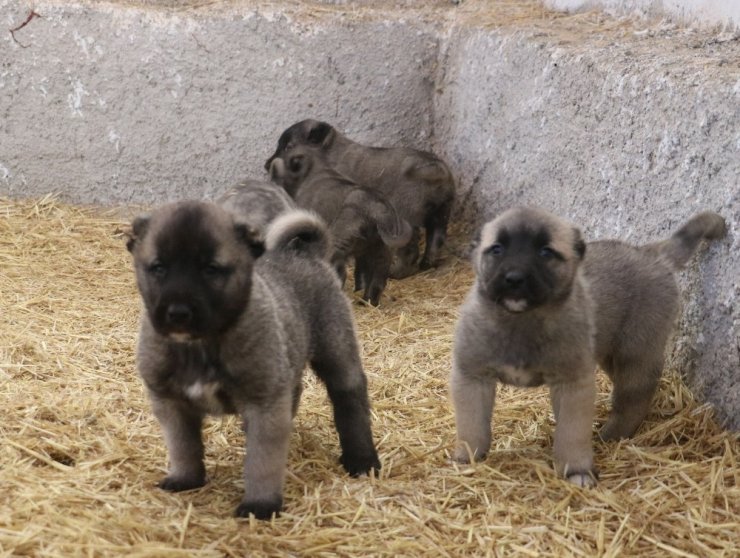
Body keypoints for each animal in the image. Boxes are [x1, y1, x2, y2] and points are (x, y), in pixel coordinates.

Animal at [126, 201, 378, 520]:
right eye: (159, 268)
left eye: (211, 269)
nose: (178, 313)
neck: (201, 345)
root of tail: (306, 253)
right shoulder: (171, 404)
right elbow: (183, 446)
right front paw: (186, 478)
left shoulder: (264, 406)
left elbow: (262, 463)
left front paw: (261, 505)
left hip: (336, 352)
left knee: (350, 400)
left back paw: (362, 459)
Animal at [264, 118, 454, 278]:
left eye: (288, 147)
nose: (267, 165)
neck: (328, 151)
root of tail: (435, 168)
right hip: (441, 215)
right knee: (435, 241)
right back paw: (427, 264)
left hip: (406, 216)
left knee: (409, 250)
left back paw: (396, 273)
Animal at [270, 147, 414, 308]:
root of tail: (376, 210)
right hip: (381, 250)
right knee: (377, 279)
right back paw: (367, 302)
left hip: (340, 243)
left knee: (340, 272)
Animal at [450, 208, 728, 488]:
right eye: (496, 249)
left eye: (545, 252)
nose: (514, 279)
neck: (521, 321)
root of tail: (650, 253)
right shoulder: (472, 378)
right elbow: (472, 426)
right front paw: (468, 456)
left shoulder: (573, 385)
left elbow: (571, 434)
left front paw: (577, 470)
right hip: (610, 354)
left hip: (635, 351)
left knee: (634, 396)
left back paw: (614, 434)